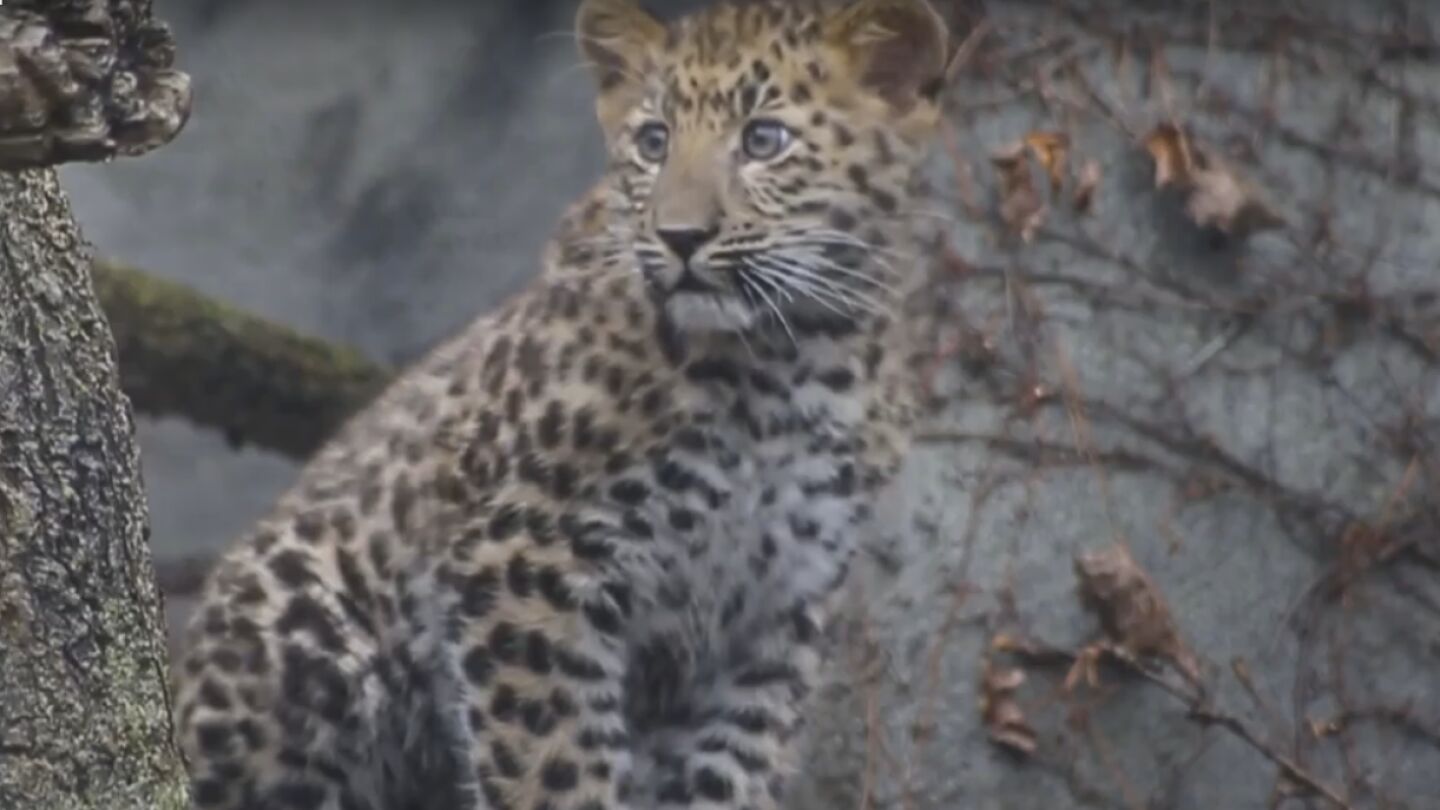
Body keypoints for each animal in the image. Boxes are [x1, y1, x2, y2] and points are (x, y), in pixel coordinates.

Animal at [172, 1, 952, 808]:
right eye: (653, 142)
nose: (680, 237)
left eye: (764, 140)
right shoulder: (524, 557)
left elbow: (727, 772)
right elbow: (555, 763)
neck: (788, 361)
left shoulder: (773, 621)